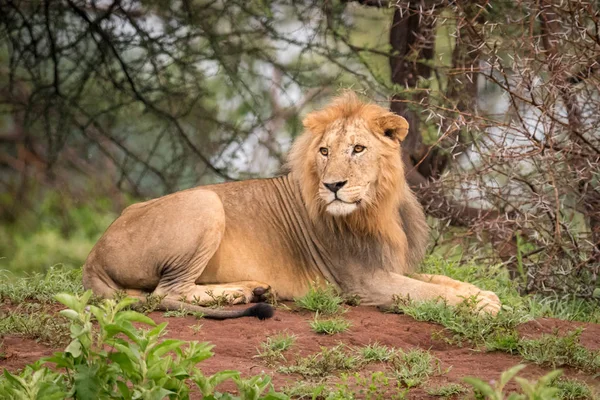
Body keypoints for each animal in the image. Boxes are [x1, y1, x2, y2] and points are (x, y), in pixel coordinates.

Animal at [82, 90, 500, 318]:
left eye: (358, 149)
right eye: (325, 151)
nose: (333, 185)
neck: (379, 206)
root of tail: (93, 257)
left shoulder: (392, 265)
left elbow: (443, 282)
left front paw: (484, 295)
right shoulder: (363, 282)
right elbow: (430, 293)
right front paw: (483, 306)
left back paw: (252, 290)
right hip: (205, 201)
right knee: (166, 293)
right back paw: (242, 293)